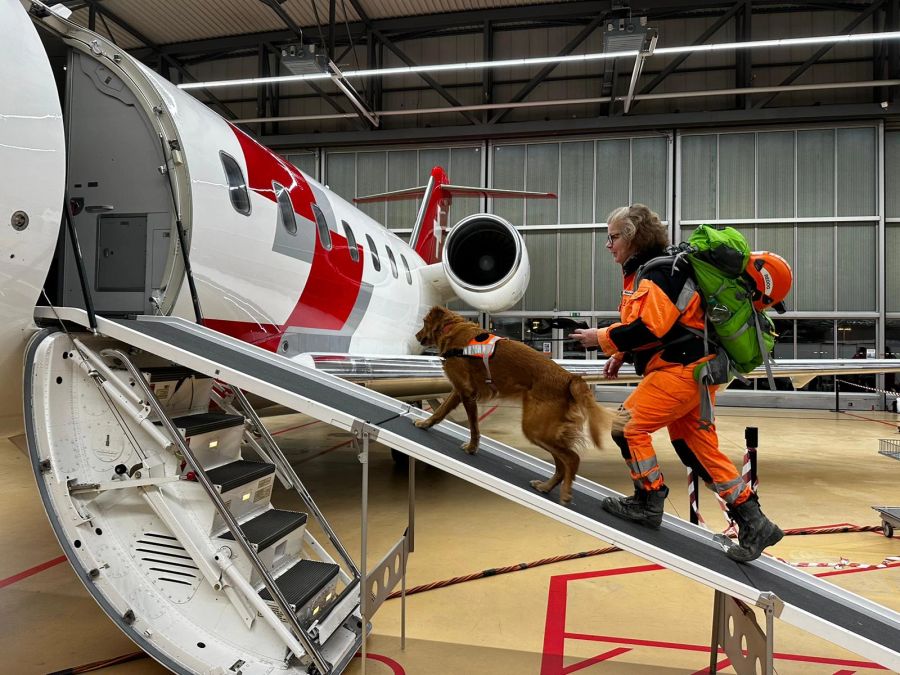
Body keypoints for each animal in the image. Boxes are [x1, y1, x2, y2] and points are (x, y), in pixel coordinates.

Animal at [414, 304, 612, 502]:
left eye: (423, 321)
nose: (416, 336)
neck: (452, 329)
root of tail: (569, 377)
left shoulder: (466, 392)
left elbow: (472, 426)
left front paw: (471, 447)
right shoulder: (459, 390)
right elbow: (440, 412)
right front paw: (425, 423)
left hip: (535, 428)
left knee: (571, 458)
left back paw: (565, 493)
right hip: (547, 430)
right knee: (561, 465)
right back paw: (545, 487)